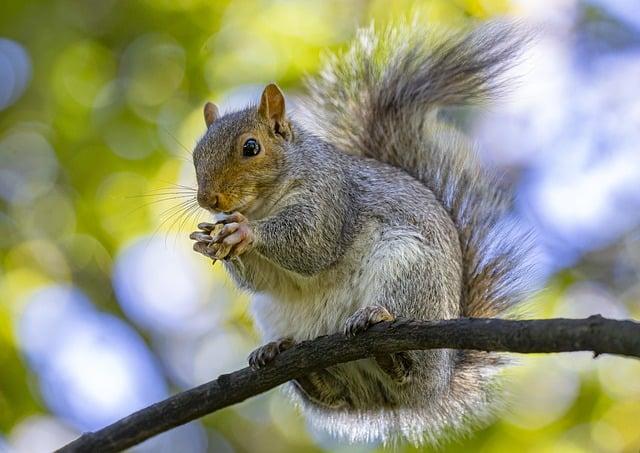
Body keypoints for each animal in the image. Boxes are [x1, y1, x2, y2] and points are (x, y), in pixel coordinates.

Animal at [189, 21, 536, 444]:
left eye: (251, 147)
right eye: (196, 154)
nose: (208, 198)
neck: (265, 204)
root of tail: (436, 382)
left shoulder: (331, 196)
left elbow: (311, 243)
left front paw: (244, 232)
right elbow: (260, 279)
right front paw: (212, 242)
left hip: (409, 272)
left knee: (407, 366)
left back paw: (379, 329)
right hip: (281, 320)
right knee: (336, 396)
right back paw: (289, 360)